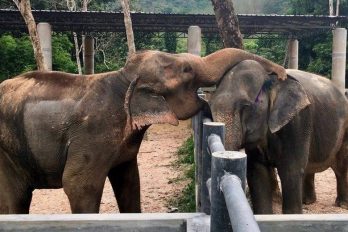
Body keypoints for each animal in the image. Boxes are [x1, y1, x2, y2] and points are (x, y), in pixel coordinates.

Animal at [0, 48, 286, 214]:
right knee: (15, 199)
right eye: (186, 70)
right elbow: (78, 184)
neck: (122, 79)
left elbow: (129, 180)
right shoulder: (94, 131)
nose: (281, 74)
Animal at [209, 59, 348, 214]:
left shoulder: (297, 121)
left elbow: (290, 172)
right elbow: (257, 172)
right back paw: (308, 202)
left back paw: (342, 204)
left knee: (341, 166)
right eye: (210, 104)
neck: (271, 77)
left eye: (246, 106)